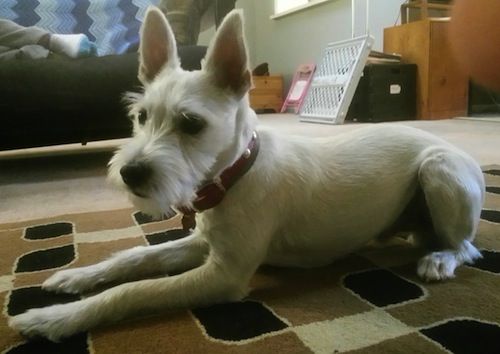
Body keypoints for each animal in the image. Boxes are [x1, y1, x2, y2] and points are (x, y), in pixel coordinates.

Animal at [8, 6, 484, 342]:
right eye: (140, 116)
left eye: (191, 124)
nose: (130, 173)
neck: (235, 176)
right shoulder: (203, 244)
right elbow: (136, 257)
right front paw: (76, 277)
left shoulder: (224, 274)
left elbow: (135, 291)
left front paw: (56, 318)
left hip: (439, 170)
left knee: (466, 246)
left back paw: (440, 258)